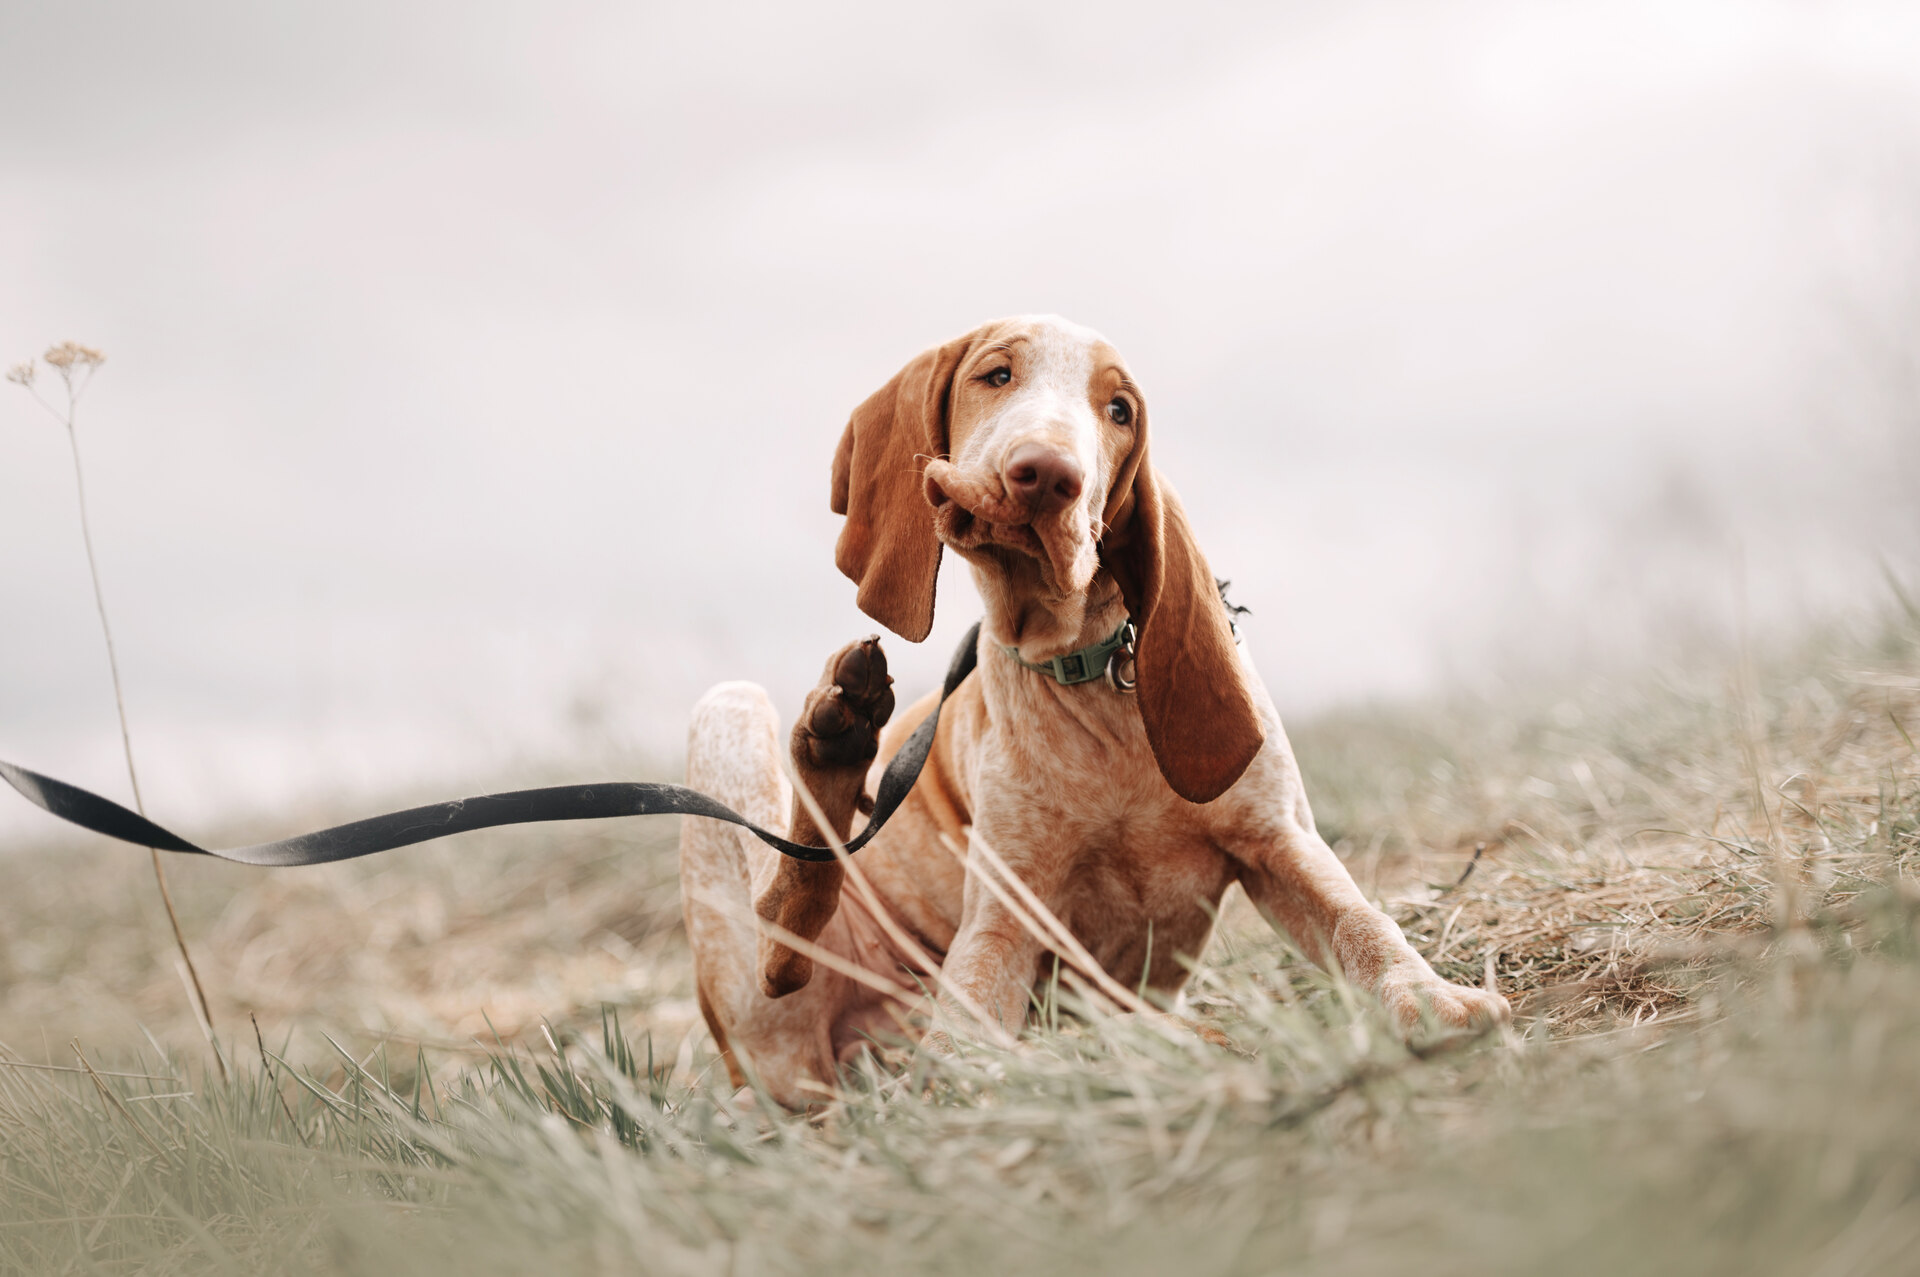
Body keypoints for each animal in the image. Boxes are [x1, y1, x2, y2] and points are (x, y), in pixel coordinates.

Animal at [683, 313, 1505, 1098]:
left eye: (1119, 411)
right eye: (996, 375)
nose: (1048, 475)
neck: (1093, 672)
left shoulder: (1281, 844)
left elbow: (1364, 923)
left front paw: (1432, 998)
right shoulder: (1007, 917)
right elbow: (968, 1037)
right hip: (732, 725)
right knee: (778, 932)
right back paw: (839, 736)